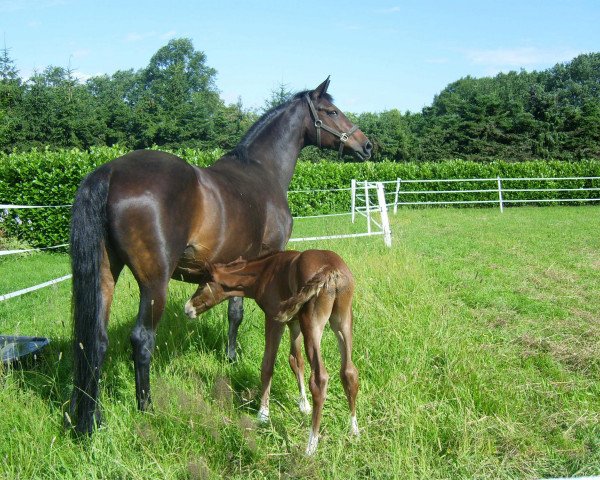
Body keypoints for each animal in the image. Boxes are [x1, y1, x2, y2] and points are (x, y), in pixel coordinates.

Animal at [69, 77, 370, 434]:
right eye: (331, 111)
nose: (366, 145)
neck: (262, 171)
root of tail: (110, 173)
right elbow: (249, 321)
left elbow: (234, 313)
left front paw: (230, 357)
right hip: (154, 283)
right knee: (141, 339)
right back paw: (146, 409)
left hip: (105, 273)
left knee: (94, 341)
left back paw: (93, 419)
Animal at [185, 249, 358, 456]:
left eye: (202, 284)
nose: (187, 308)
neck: (264, 272)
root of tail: (330, 270)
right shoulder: (294, 323)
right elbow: (296, 361)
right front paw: (304, 405)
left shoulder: (274, 319)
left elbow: (268, 364)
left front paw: (263, 413)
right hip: (342, 321)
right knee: (349, 372)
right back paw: (354, 430)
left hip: (313, 323)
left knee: (319, 379)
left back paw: (310, 446)